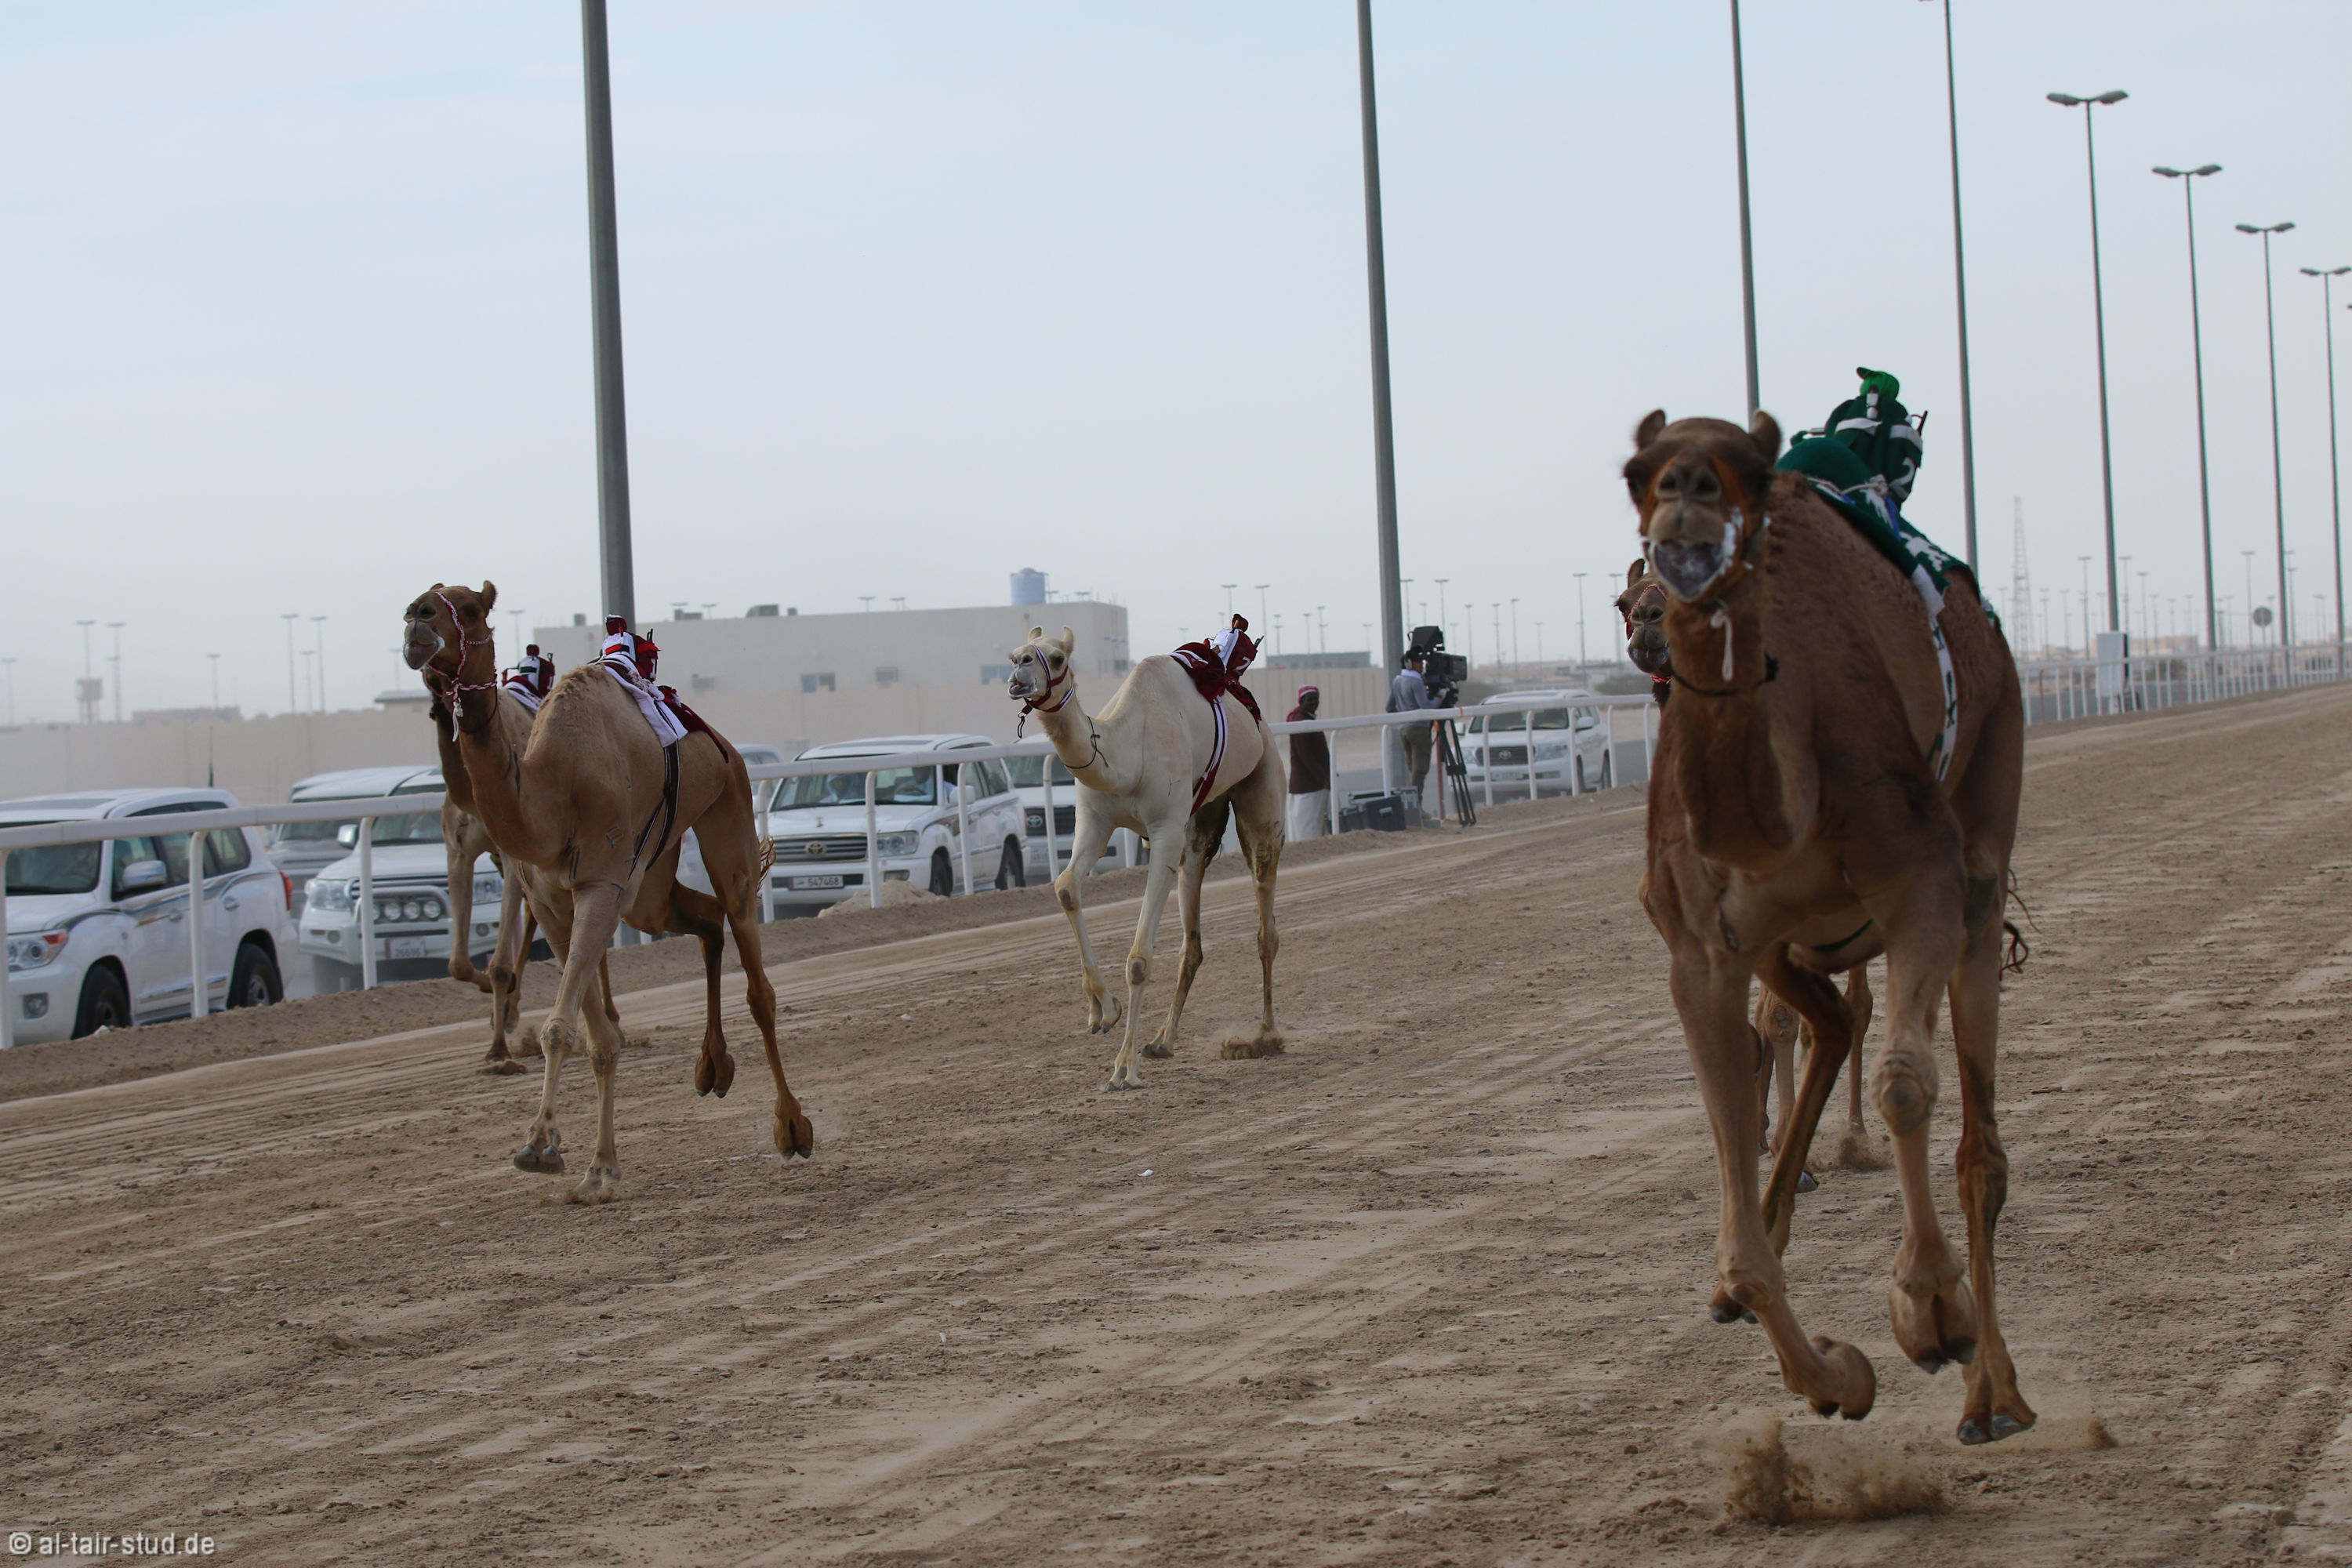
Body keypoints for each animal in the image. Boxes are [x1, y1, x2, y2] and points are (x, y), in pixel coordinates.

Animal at [404, 582, 811, 1201]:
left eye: (470, 608)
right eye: (422, 599)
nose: (416, 621)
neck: (553, 790)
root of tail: (717, 738)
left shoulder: (599, 884)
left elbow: (560, 1026)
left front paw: (541, 1145)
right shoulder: (551, 901)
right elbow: (592, 1037)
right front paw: (597, 1167)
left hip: (728, 807)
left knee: (752, 968)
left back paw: (791, 1126)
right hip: (650, 883)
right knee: (705, 919)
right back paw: (712, 1068)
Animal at [1004, 626, 1284, 1089]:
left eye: (1058, 658)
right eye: (1013, 656)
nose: (1019, 675)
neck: (1124, 754)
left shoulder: (1164, 830)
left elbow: (1138, 960)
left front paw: (1123, 1068)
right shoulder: (1096, 821)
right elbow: (1065, 888)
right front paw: (1103, 1010)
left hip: (1262, 787)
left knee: (1266, 920)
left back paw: (1265, 1036)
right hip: (1201, 821)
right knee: (1192, 932)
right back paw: (1163, 1040)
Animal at [1627, 409, 2030, 1446]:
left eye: (1749, 473)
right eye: (1639, 473)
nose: (1653, 611)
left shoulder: (1920, 880)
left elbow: (1905, 1085)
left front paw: (1929, 1308)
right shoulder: (1702, 951)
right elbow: (1739, 1248)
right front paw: (1835, 1374)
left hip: (1984, 837)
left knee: (1979, 1144)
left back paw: (1993, 1393)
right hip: (1789, 941)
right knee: (1832, 1025)